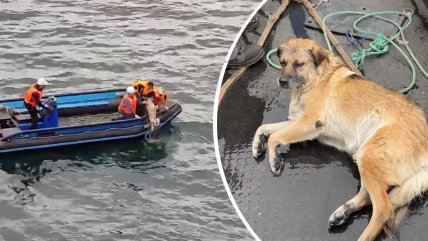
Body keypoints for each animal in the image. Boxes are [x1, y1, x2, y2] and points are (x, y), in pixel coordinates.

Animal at [251, 37, 428, 241]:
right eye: (282, 62)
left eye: (299, 64)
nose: (282, 81)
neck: (317, 77)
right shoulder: (298, 122)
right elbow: (264, 128)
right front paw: (257, 145)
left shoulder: (309, 122)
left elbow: (274, 136)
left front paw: (274, 160)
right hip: (364, 156)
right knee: (368, 197)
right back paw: (343, 213)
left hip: (369, 154)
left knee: (384, 208)